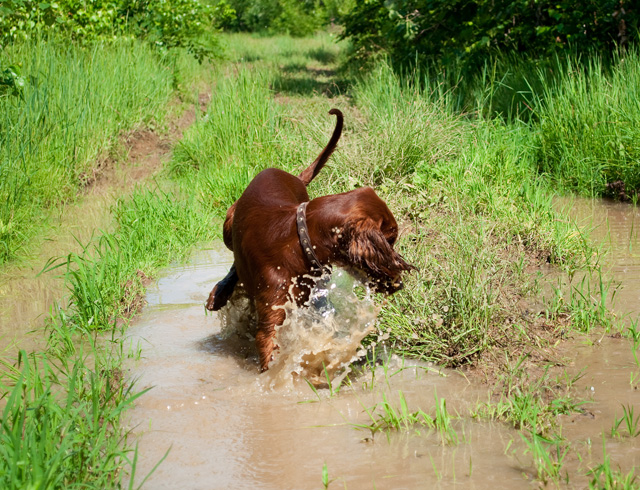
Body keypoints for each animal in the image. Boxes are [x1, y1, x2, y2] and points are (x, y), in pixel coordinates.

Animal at [205, 109, 416, 372]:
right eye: (390, 240)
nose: (400, 283)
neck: (297, 242)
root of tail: (294, 176)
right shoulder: (272, 321)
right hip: (228, 221)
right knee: (234, 263)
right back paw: (219, 292)